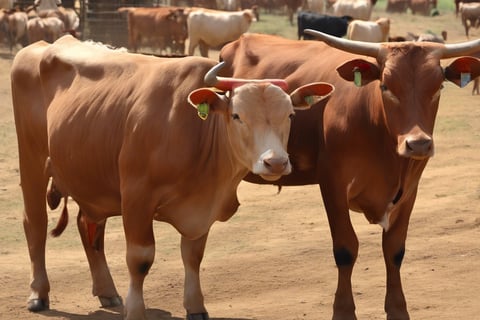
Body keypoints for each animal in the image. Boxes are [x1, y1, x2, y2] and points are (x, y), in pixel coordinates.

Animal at [12, 33, 334, 318]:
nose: (275, 162)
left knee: (88, 226)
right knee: (35, 223)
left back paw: (107, 290)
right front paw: (136, 311)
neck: (197, 129)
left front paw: (196, 307)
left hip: (90, 178)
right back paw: (38, 293)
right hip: (32, 161)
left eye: (290, 115)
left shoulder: (203, 209)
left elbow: (193, 256)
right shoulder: (137, 198)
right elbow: (139, 259)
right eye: (237, 115)